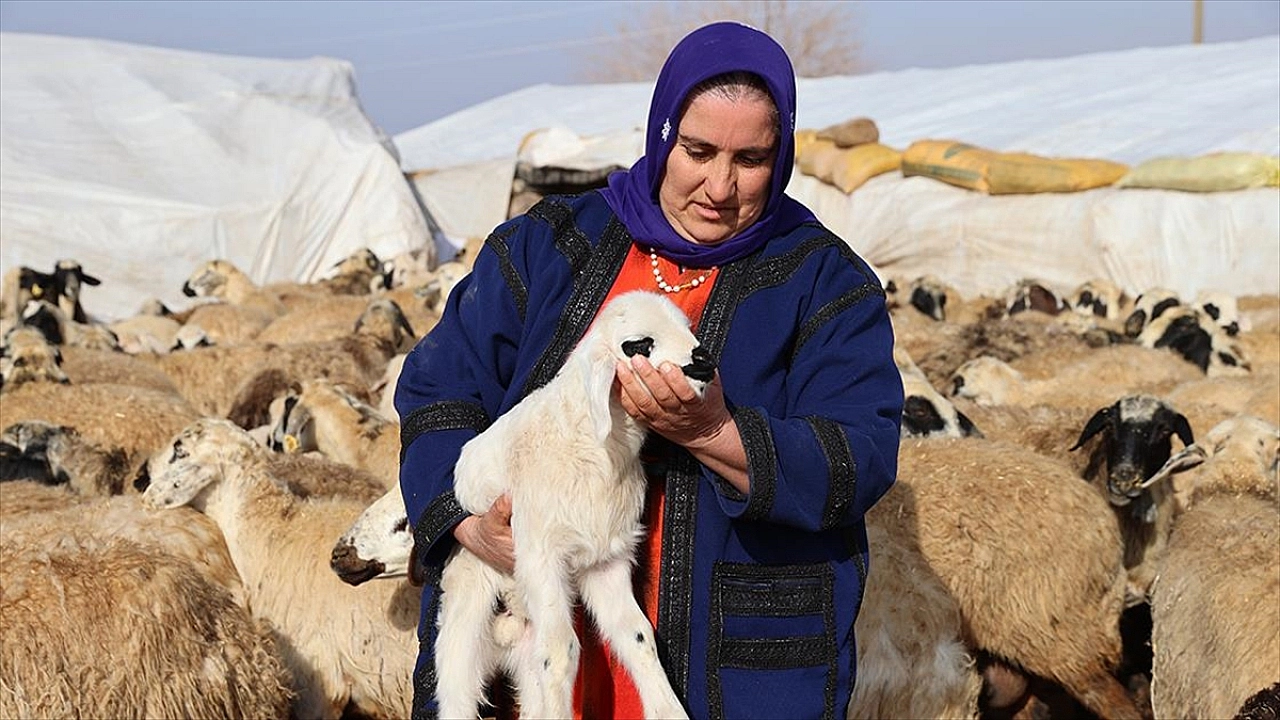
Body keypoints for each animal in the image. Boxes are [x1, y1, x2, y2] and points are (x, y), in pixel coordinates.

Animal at [435, 290, 706, 720]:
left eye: (686, 327)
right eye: (639, 345)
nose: (704, 365)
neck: (593, 449)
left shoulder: (606, 560)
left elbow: (639, 637)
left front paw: (670, 712)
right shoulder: (541, 556)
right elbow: (563, 651)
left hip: (525, 649)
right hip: (465, 618)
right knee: (459, 694)